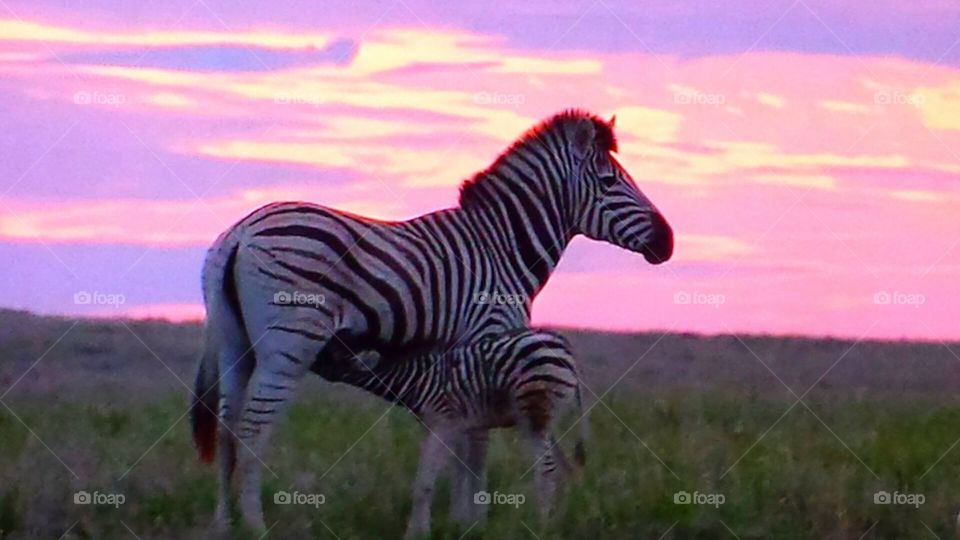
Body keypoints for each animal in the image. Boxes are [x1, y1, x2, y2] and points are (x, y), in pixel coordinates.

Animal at [316, 328, 586, 539]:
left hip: (535, 412)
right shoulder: (441, 426)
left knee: (547, 469)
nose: (310, 361)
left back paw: (540, 526)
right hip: (548, 421)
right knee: (565, 467)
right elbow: (435, 477)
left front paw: (419, 534)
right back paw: (561, 520)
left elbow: (424, 483)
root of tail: (564, 345)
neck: (417, 378)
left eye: (335, 352)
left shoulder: (444, 422)